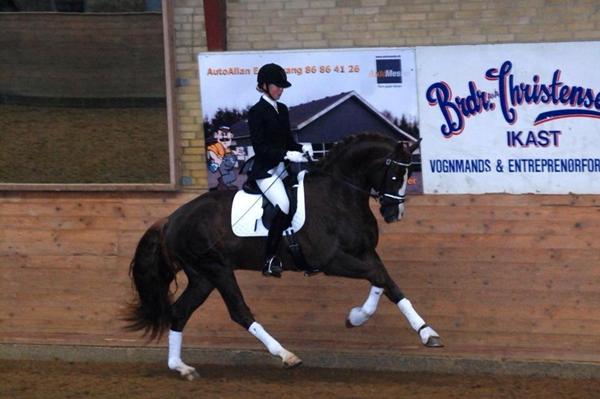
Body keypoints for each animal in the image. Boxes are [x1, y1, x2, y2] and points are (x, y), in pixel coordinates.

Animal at [126, 134, 442, 382]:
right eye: (395, 174)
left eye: (408, 174)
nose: (393, 214)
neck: (339, 196)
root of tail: (171, 218)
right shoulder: (330, 261)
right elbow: (378, 277)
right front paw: (358, 317)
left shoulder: (365, 252)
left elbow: (387, 283)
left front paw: (424, 332)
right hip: (216, 269)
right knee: (239, 311)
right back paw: (286, 355)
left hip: (202, 276)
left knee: (179, 312)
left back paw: (181, 367)